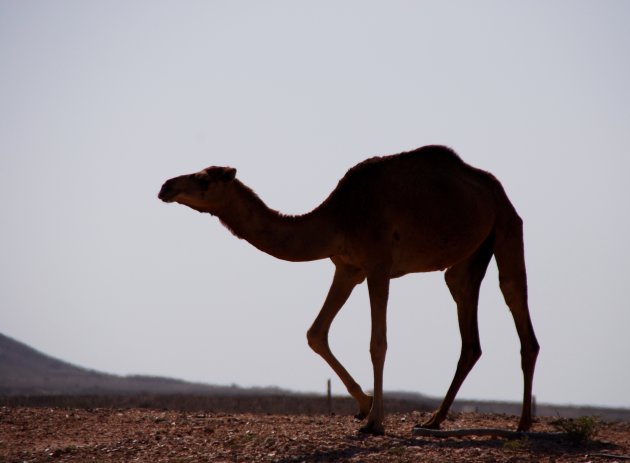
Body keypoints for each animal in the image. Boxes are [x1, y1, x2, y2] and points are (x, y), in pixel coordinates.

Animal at [160, 147, 540, 436]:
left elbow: (378, 343)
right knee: (468, 327)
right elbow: (316, 333)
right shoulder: (347, 268)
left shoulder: (379, 265)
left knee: (515, 298)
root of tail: (494, 188)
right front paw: (366, 404)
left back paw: (522, 425)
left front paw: (375, 422)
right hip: (467, 259)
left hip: (507, 225)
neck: (337, 218)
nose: (166, 186)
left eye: (204, 179)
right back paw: (434, 420)